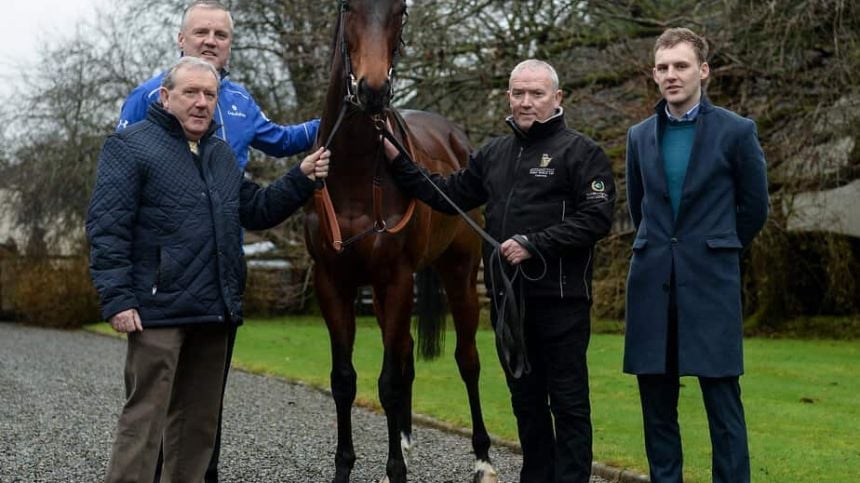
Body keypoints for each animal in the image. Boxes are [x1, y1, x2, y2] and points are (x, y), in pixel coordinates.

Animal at [306, 0, 498, 483]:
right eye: (348, 7)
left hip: (460, 277)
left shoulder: (395, 279)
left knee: (468, 360)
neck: (354, 172)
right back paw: (407, 441)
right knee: (407, 356)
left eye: (401, 11)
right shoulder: (333, 282)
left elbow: (389, 382)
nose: (373, 90)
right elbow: (344, 380)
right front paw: (346, 466)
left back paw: (483, 458)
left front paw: (395, 469)